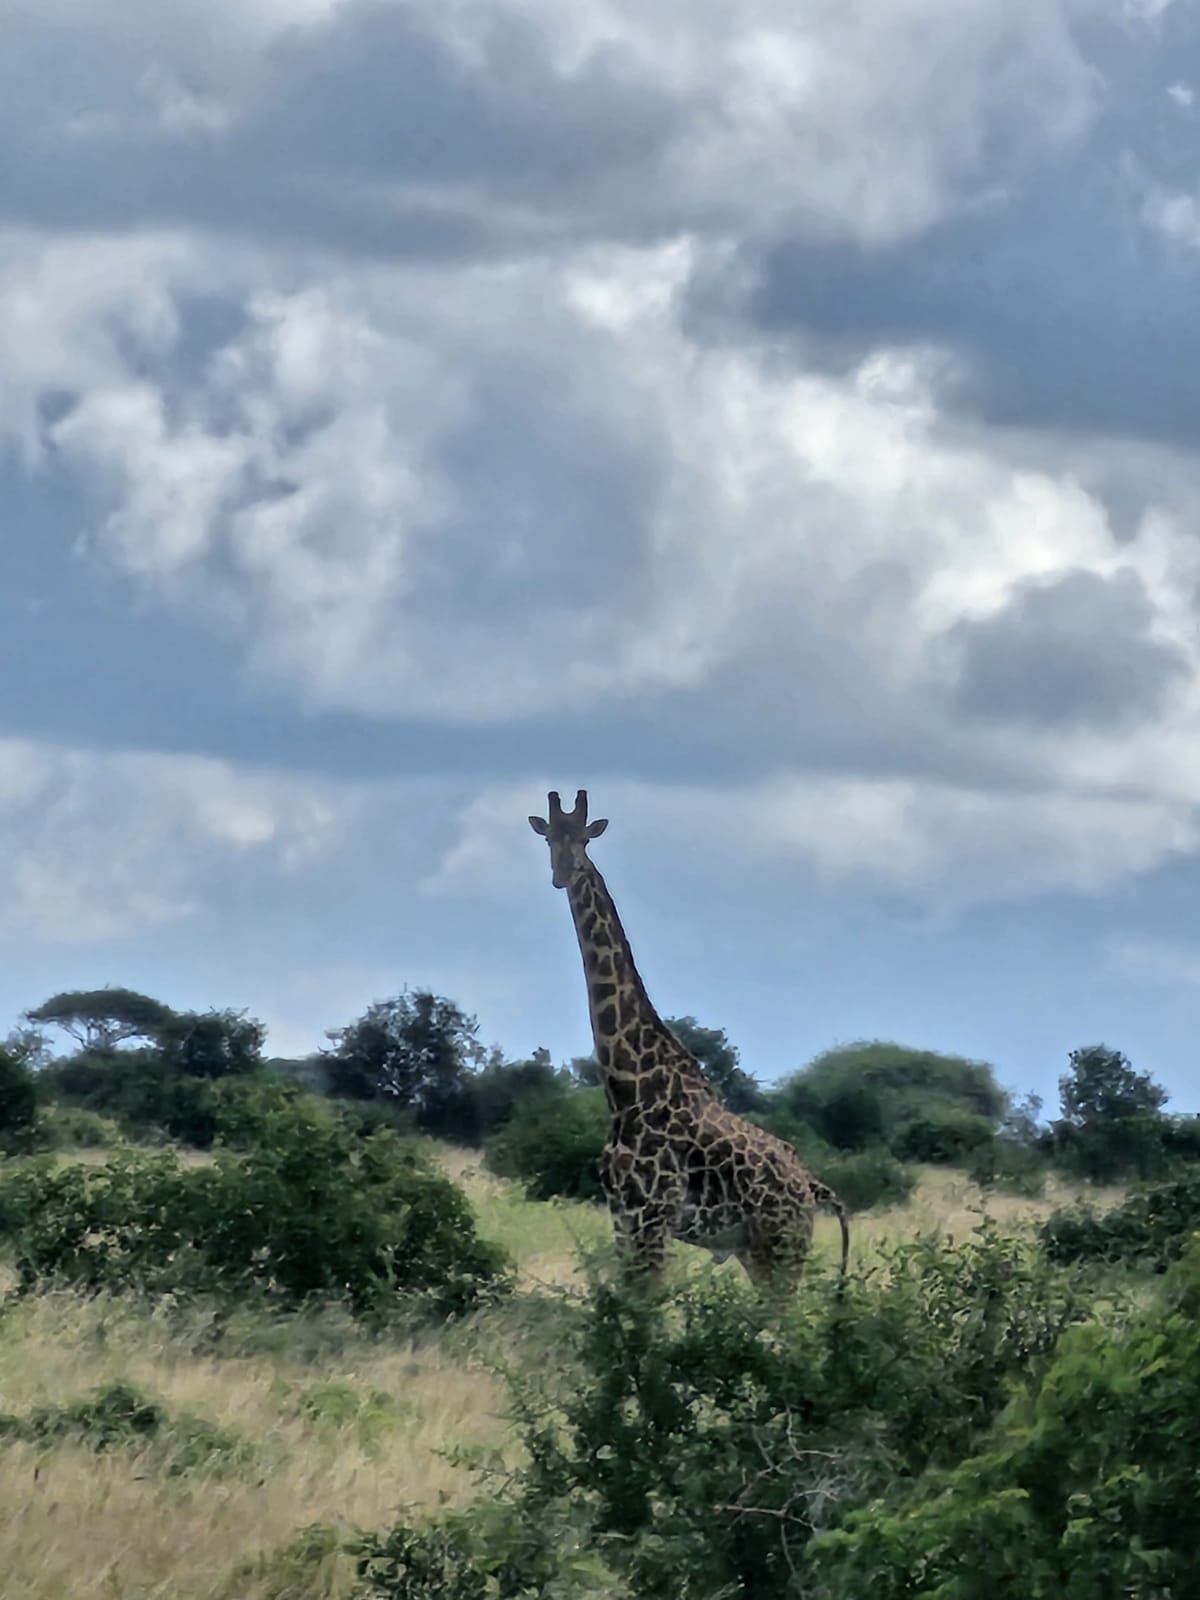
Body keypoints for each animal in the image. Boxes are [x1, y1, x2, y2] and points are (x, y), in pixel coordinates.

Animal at [528, 789, 849, 1291]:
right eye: (549, 839)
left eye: (583, 839)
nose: (564, 873)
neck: (626, 1083)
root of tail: (813, 1188)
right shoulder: (623, 1217)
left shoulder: (653, 1217)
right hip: (757, 1253)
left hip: (782, 1249)